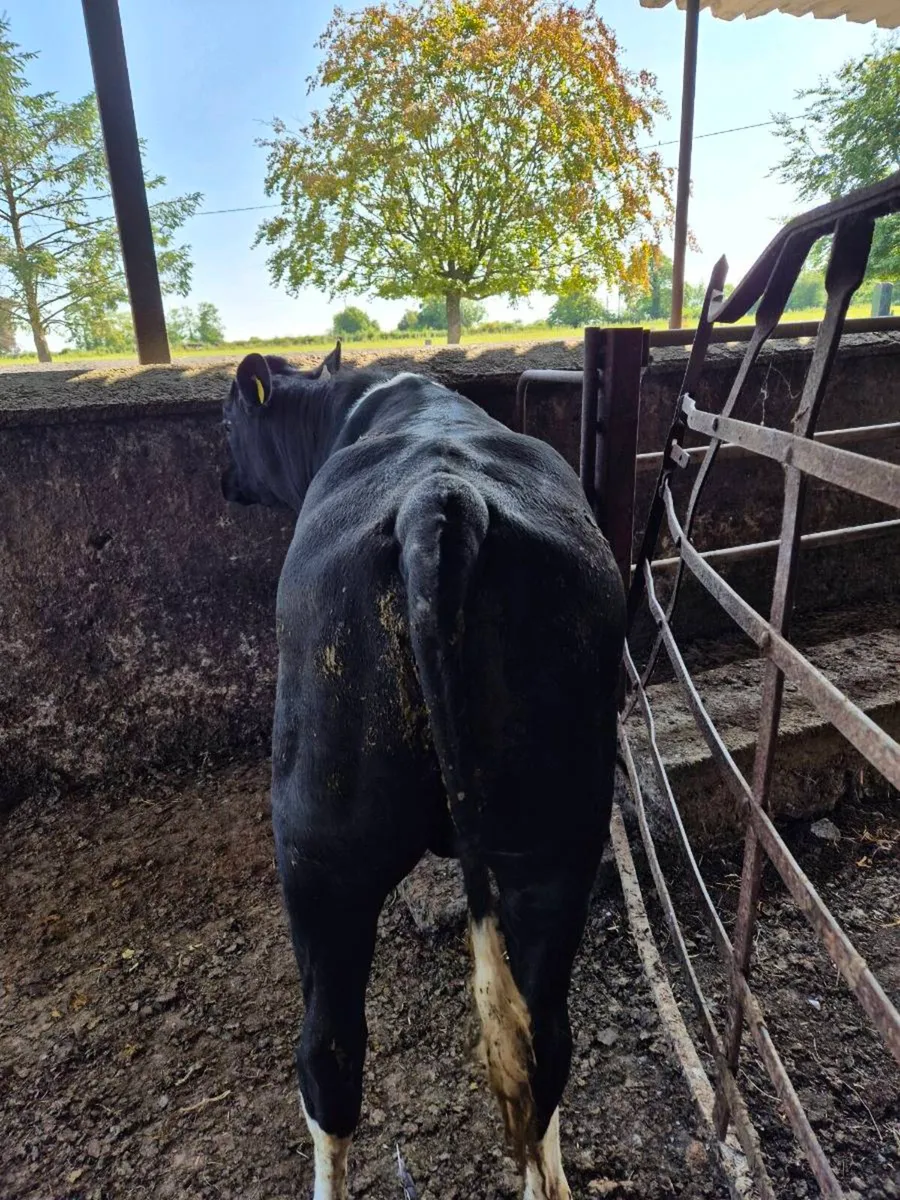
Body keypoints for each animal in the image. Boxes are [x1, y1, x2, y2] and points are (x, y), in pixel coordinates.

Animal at [221, 344, 625, 1199]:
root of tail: (439, 502)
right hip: (561, 835)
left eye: (226, 423)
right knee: (544, 1040)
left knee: (329, 1057)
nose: (224, 479)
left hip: (317, 850)